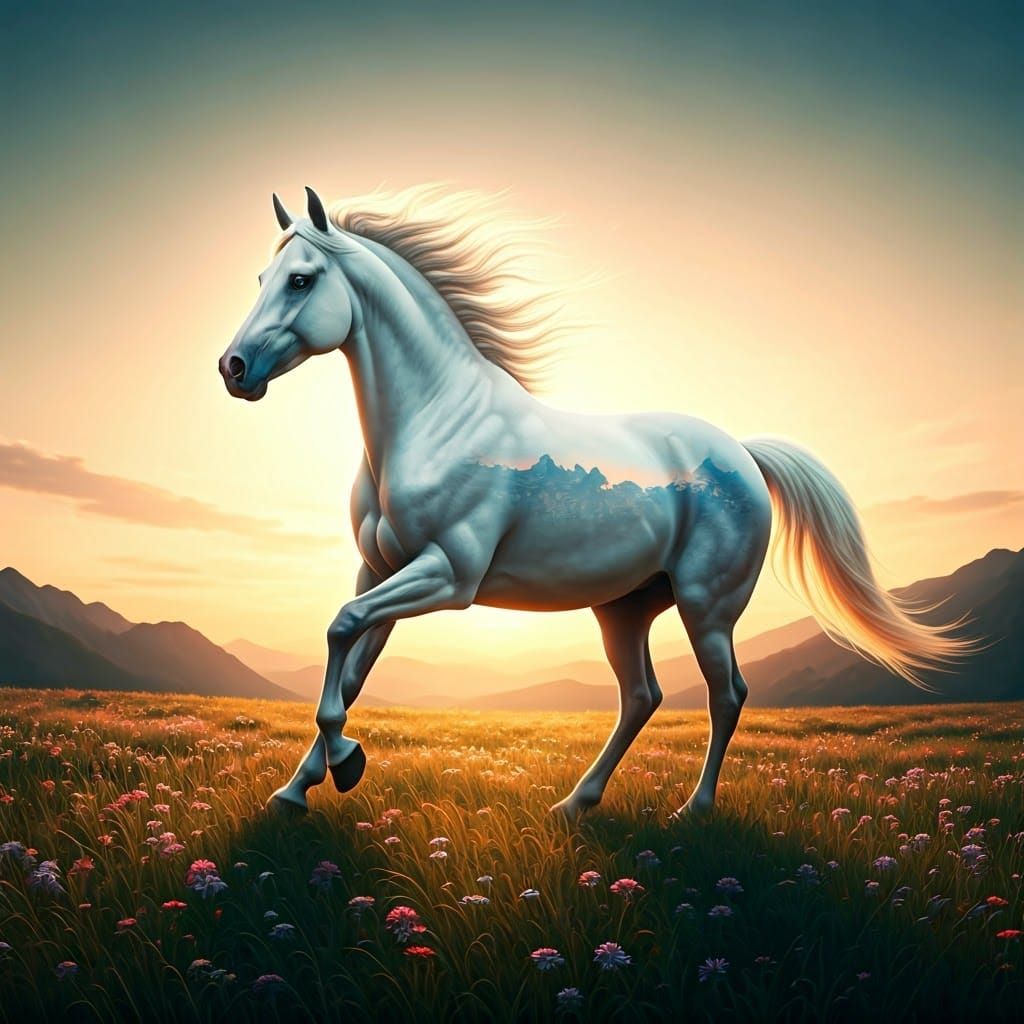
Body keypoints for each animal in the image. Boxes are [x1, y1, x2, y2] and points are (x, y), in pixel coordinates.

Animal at [218, 185, 966, 821]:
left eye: (302, 280)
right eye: (258, 280)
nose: (233, 369)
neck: (436, 422)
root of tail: (744, 454)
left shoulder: (448, 576)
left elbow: (340, 632)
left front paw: (344, 764)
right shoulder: (380, 571)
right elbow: (347, 668)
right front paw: (298, 790)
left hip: (707, 607)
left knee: (726, 695)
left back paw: (692, 810)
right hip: (624, 608)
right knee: (642, 697)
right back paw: (576, 803)